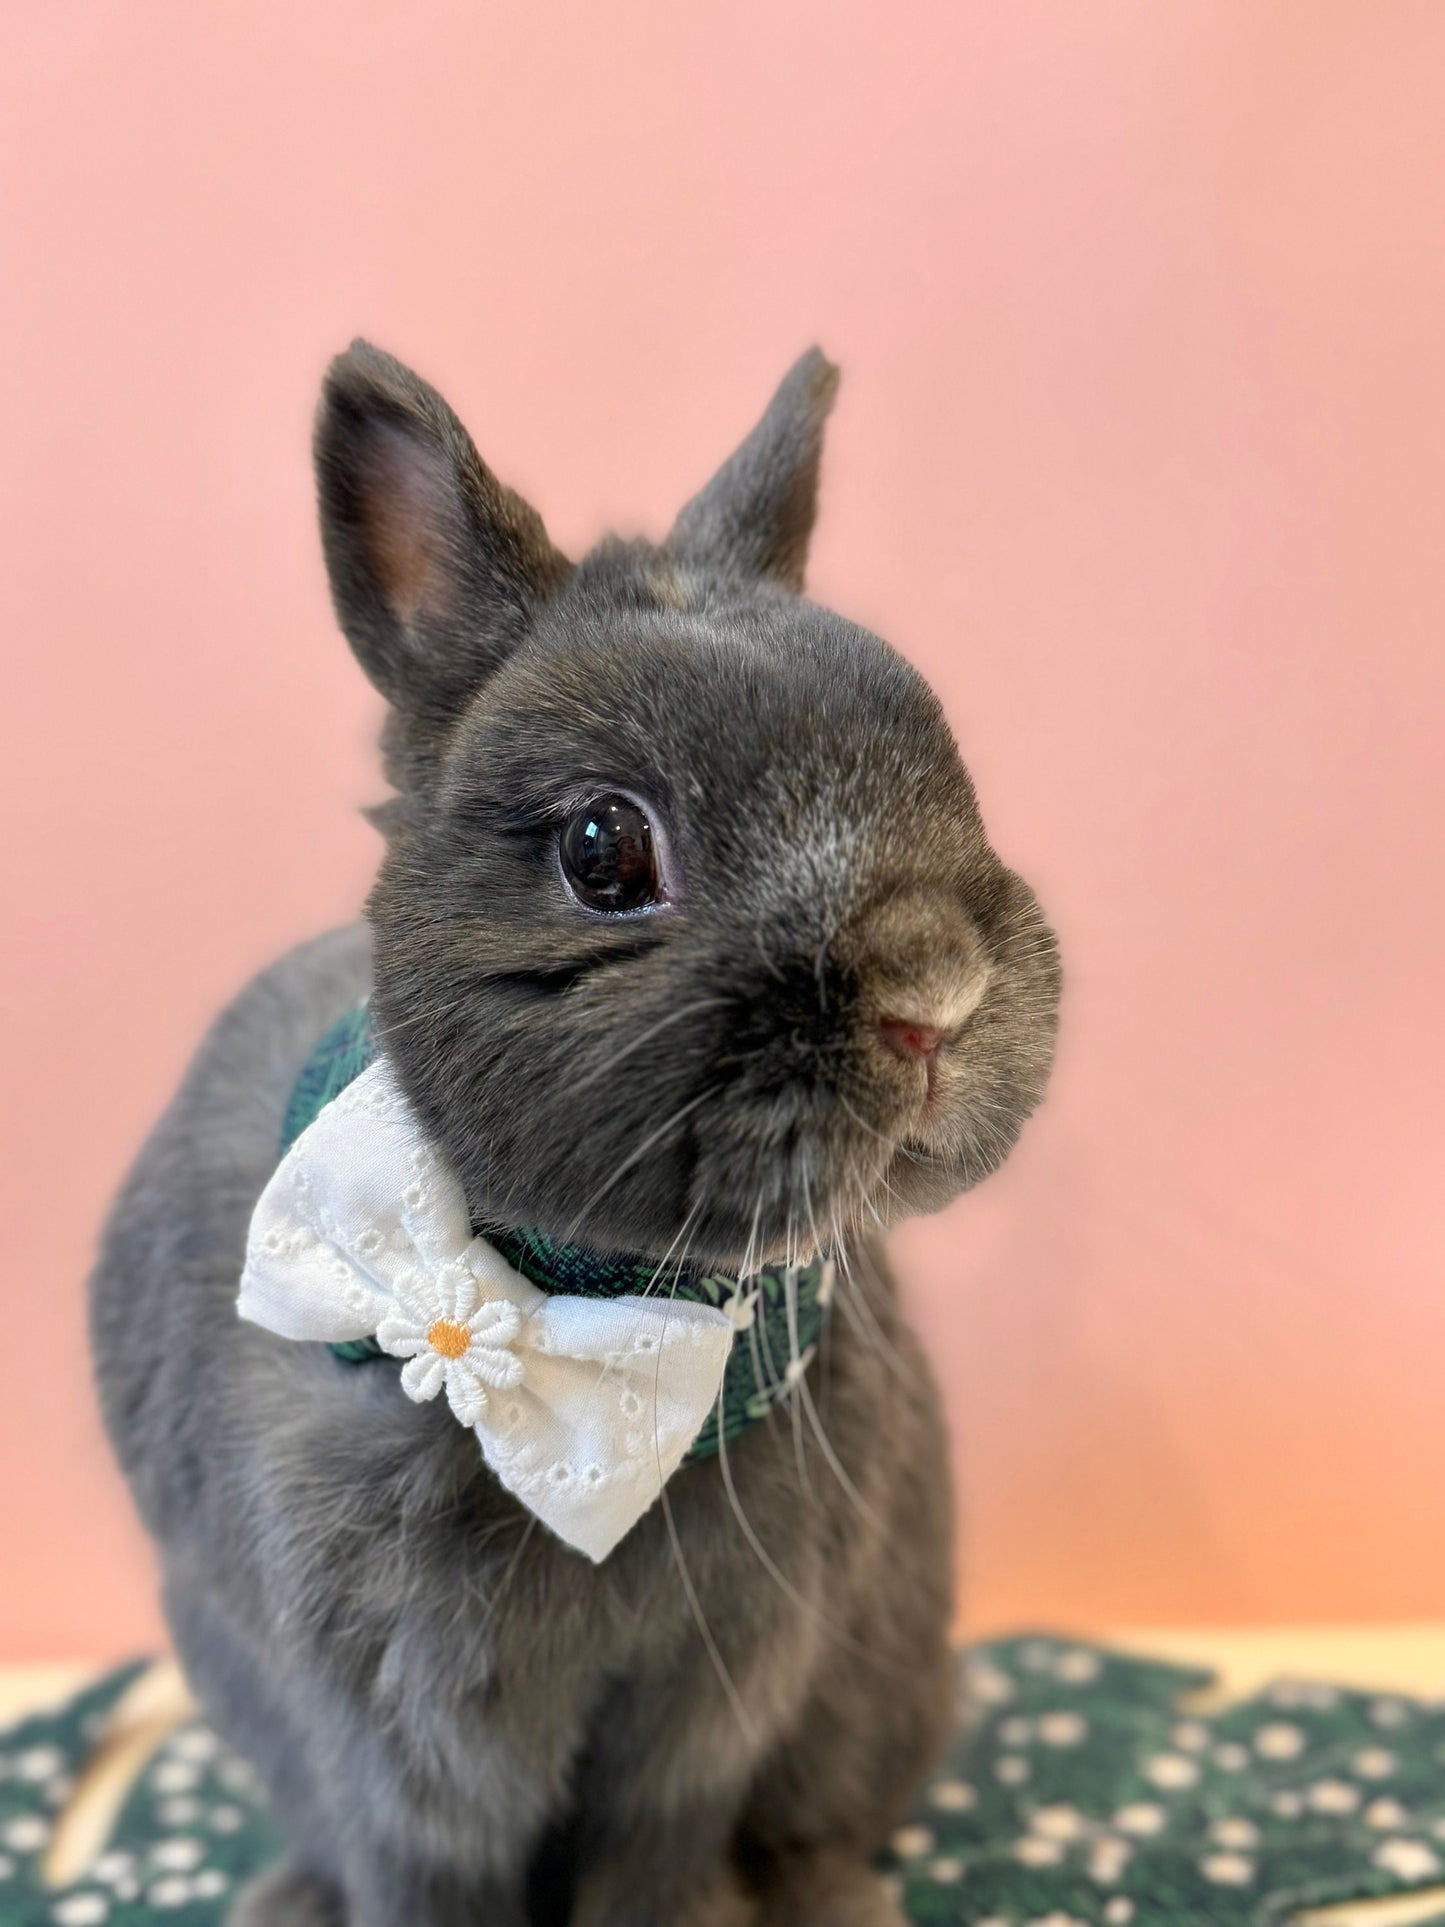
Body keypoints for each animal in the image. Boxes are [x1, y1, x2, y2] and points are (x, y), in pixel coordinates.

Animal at [90, 339, 1063, 1919]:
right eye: (603, 849)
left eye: (945, 763)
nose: (937, 995)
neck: (582, 1311)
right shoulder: (401, 1747)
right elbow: (422, 1869)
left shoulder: (708, 1705)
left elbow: (653, 1859)